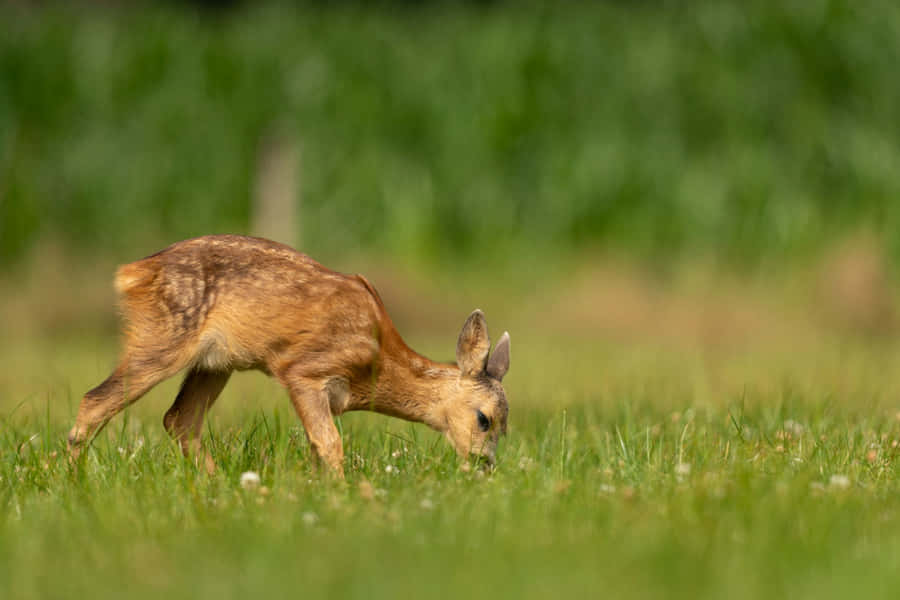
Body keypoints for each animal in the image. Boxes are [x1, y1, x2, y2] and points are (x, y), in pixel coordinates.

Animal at [67, 235, 510, 477]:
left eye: (505, 427)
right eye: (484, 419)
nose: (484, 466)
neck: (378, 362)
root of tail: (132, 273)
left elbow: (317, 448)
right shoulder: (304, 371)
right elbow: (330, 444)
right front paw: (343, 497)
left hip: (215, 363)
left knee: (180, 419)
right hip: (163, 338)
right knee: (95, 400)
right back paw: (73, 482)